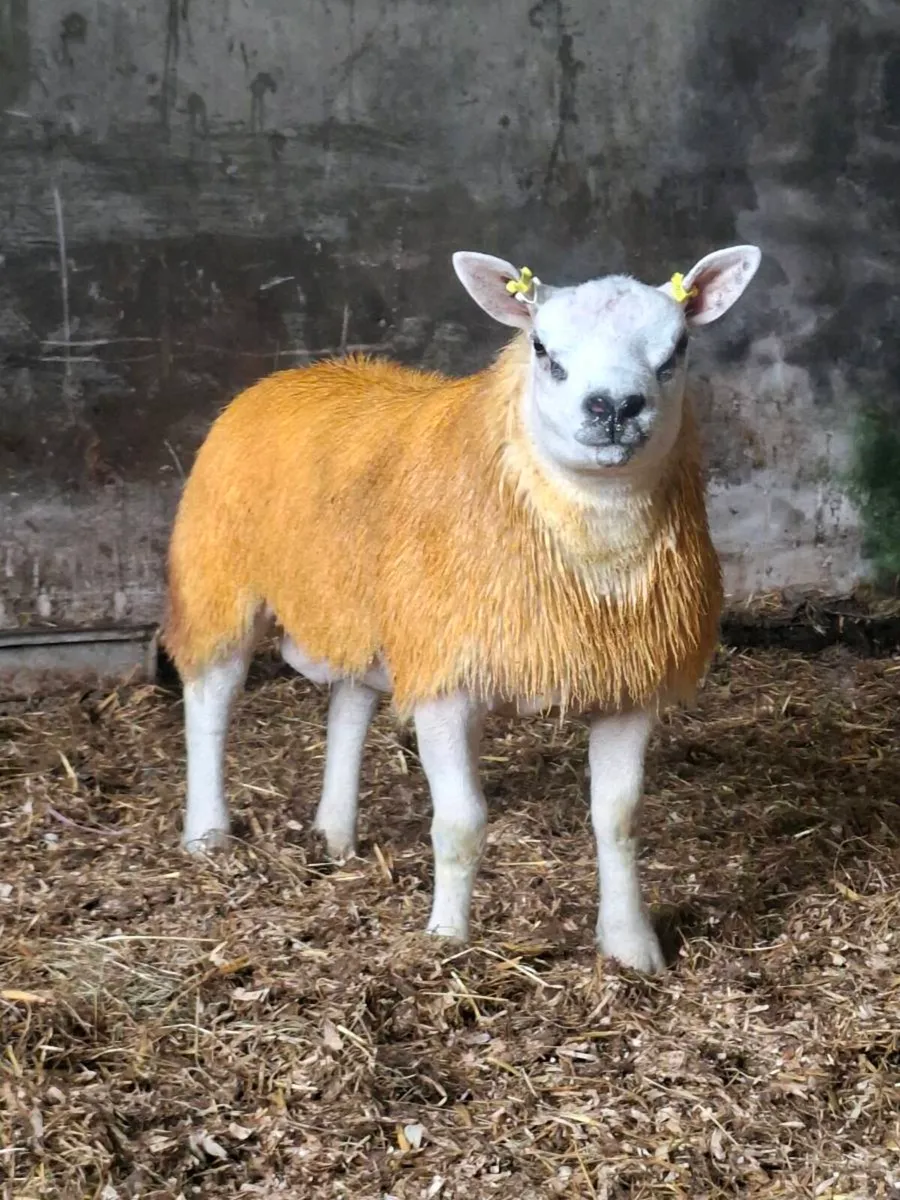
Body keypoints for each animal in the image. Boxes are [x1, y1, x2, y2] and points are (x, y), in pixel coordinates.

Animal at [163, 244, 761, 973]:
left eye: (677, 348)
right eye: (542, 349)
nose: (615, 406)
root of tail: (302, 371)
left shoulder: (628, 682)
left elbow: (617, 819)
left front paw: (630, 947)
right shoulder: (446, 679)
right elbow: (461, 823)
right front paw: (447, 940)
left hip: (369, 608)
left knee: (350, 704)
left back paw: (335, 833)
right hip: (218, 580)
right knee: (210, 703)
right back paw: (208, 834)